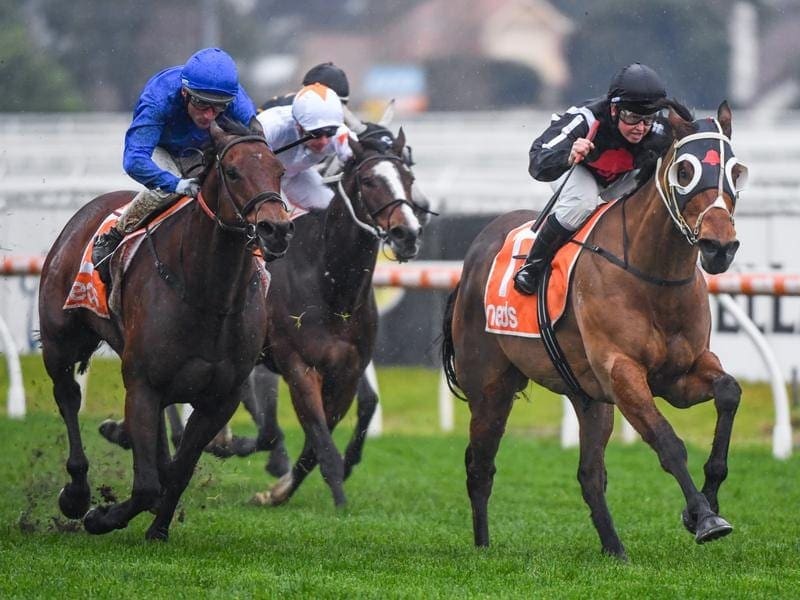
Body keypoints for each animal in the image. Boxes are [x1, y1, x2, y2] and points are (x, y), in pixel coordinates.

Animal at [38, 119, 294, 540]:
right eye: (233, 172)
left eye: (279, 171)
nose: (277, 229)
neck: (210, 296)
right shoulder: (144, 382)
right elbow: (145, 485)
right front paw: (101, 516)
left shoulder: (219, 397)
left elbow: (178, 471)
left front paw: (157, 528)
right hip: (60, 340)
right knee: (68, 396)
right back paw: (76, 494)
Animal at [253, 124, 422, 508]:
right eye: (370, 180)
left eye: (409, 177)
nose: (407, 234)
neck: (331, 288)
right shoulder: (297, 365)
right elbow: (321, 439)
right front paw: (340, 503)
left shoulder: (347, 370)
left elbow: (319, 441)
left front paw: (279, 490)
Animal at [440, 102, 748, 556]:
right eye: (685, 171)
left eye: (736, 171)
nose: (720, 247)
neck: (654, 276)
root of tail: (474, 254)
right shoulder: (623, 373)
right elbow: (668, 443)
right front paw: (705, 518)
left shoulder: (680, 374)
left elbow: (728, 392)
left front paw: (706, 503)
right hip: (490, 388)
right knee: (480, 465)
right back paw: (483, 547)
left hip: (588, 397)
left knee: (589, 474)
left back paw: (614, 548)